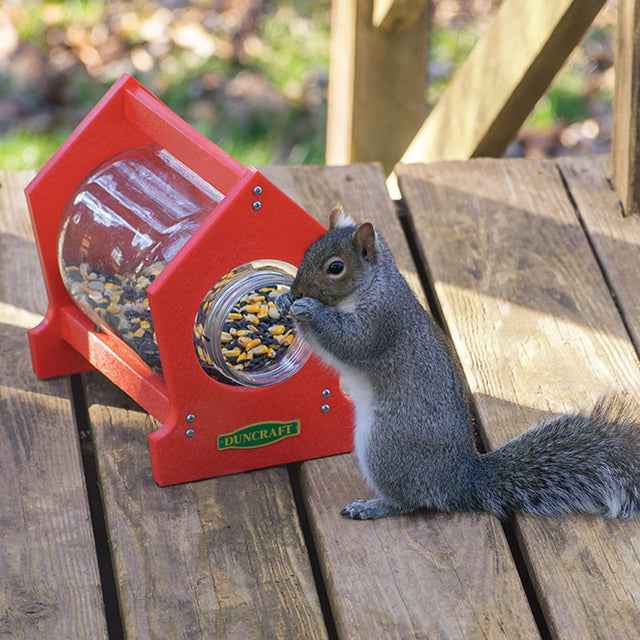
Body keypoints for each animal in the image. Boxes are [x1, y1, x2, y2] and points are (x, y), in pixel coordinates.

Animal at [278, 209, 640, 520]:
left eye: (335, 267)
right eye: (308, 249)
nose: (296, 288)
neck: (372, 285)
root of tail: (461, 480)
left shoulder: (382, 322)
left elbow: (348, 341)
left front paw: (307, 308)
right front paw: (284, 300)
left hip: (385, 442)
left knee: (409, 501)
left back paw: (374, 506)